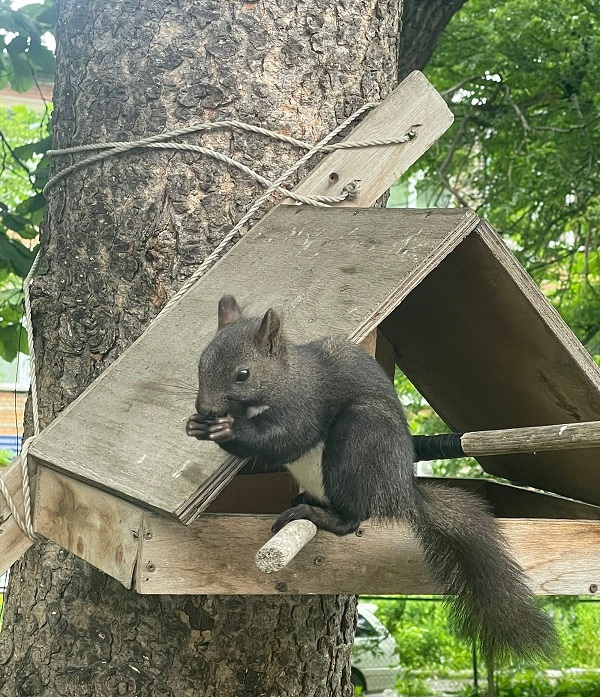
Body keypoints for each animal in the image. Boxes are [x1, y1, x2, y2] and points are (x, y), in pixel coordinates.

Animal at [186, 294, 556, 664]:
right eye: (200, 362)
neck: (284, 380)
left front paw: (227, 430)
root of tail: (399, 491)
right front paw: (197, 425)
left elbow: (286, 439)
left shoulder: (304, 404)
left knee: (352, 518)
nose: (204, 408)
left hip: (359, 443)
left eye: (242, 375)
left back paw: (315, 514)